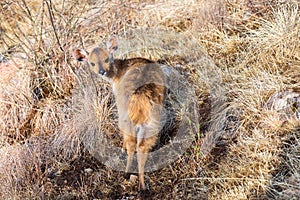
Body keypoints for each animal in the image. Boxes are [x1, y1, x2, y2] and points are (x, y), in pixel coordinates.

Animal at [73, 35, 166, 193]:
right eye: (91, 63)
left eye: (107, 59)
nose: (102, 71)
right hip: (150, 122)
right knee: (141, 146)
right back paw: (141, 185)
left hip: (125, 118)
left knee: (132, 143)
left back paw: (127, 174)